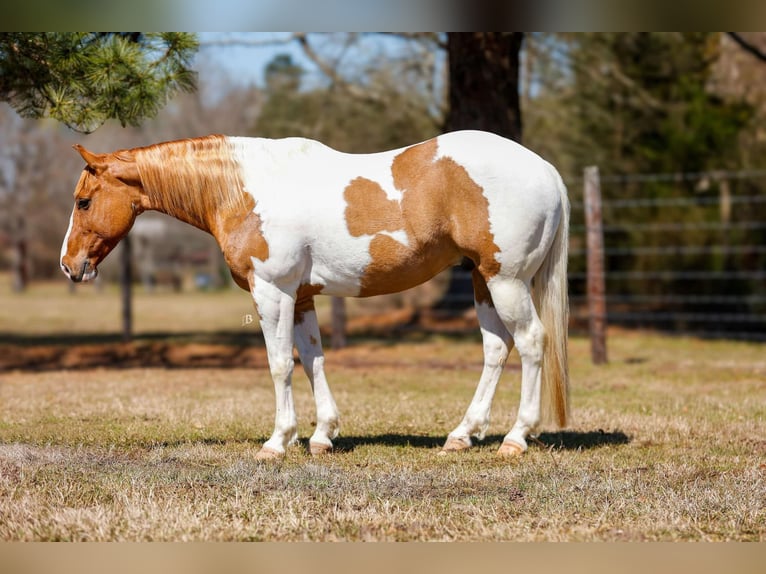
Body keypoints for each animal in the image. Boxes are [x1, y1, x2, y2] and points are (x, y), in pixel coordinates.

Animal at [60, 129, 568, 460]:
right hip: (483, 281)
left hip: (506, 281)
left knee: (531, 343)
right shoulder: (302, 297)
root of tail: (545, 168)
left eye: (84, 201)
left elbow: (279, 364)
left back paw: (516, 438)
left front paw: (277, 442)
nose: (69, 265)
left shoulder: (273, 293)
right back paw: (463, 434)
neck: (245, 191)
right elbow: (313, 360)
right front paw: (322, 436)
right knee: (496, 349)